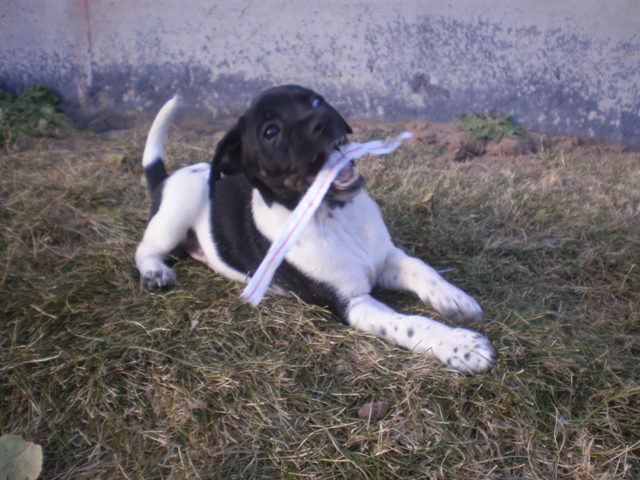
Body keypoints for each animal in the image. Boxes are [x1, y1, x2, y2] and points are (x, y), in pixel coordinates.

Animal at [135, 84, 496, 374]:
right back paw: (155, 271)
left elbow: (422, 269)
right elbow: (409, 324)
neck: (334, 218)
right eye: (270, 132)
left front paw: (454, 299)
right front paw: (460, 346)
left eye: (316, 101)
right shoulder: (352, 304)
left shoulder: (385, 258)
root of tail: (168, 176)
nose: (323, 120)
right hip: (178, 210)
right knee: (145, 247)